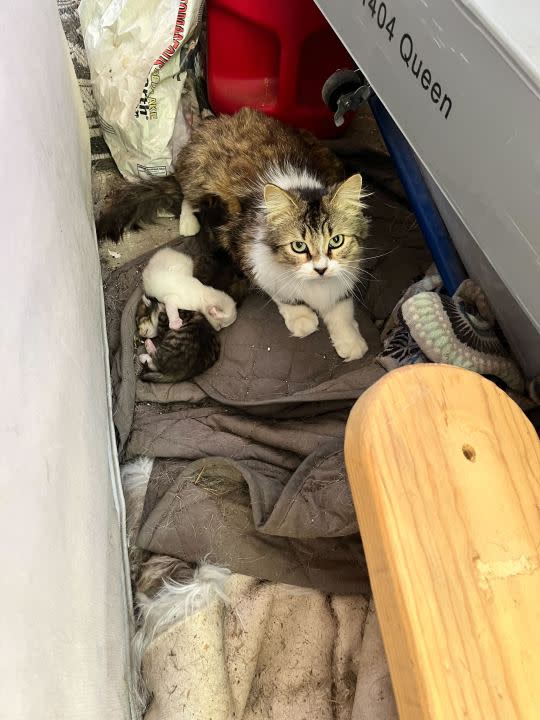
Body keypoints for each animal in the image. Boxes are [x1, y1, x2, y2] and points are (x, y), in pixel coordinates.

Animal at [98, 107, 372, 360]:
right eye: (298, 246)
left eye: (336, 241)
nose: (321, 269)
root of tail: (212, 121)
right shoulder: (247, 253)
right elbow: (280, 292)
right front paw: (301, 318)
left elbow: (342, 305)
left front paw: (351, 341)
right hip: (197, 174)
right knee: (187, 196)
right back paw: (188, 222)